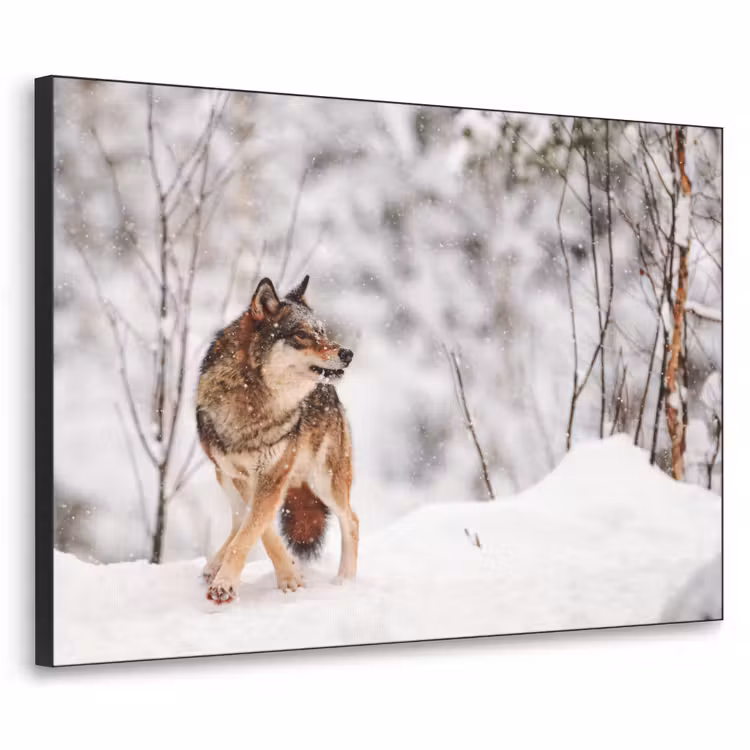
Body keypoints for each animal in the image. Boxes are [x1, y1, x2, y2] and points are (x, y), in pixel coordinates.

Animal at [196, 275, 358, 604]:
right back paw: (214, 564)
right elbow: (260, 530)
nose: (347, 354)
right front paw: (289, 576)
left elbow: (252, 531)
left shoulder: (272, 476)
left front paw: (227, 583)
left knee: (352, 520)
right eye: (302, 335)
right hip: (224, 477)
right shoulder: (244, 478)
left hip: (326, 482)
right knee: (237, 519)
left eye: (322, 332)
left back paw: (345, 581)